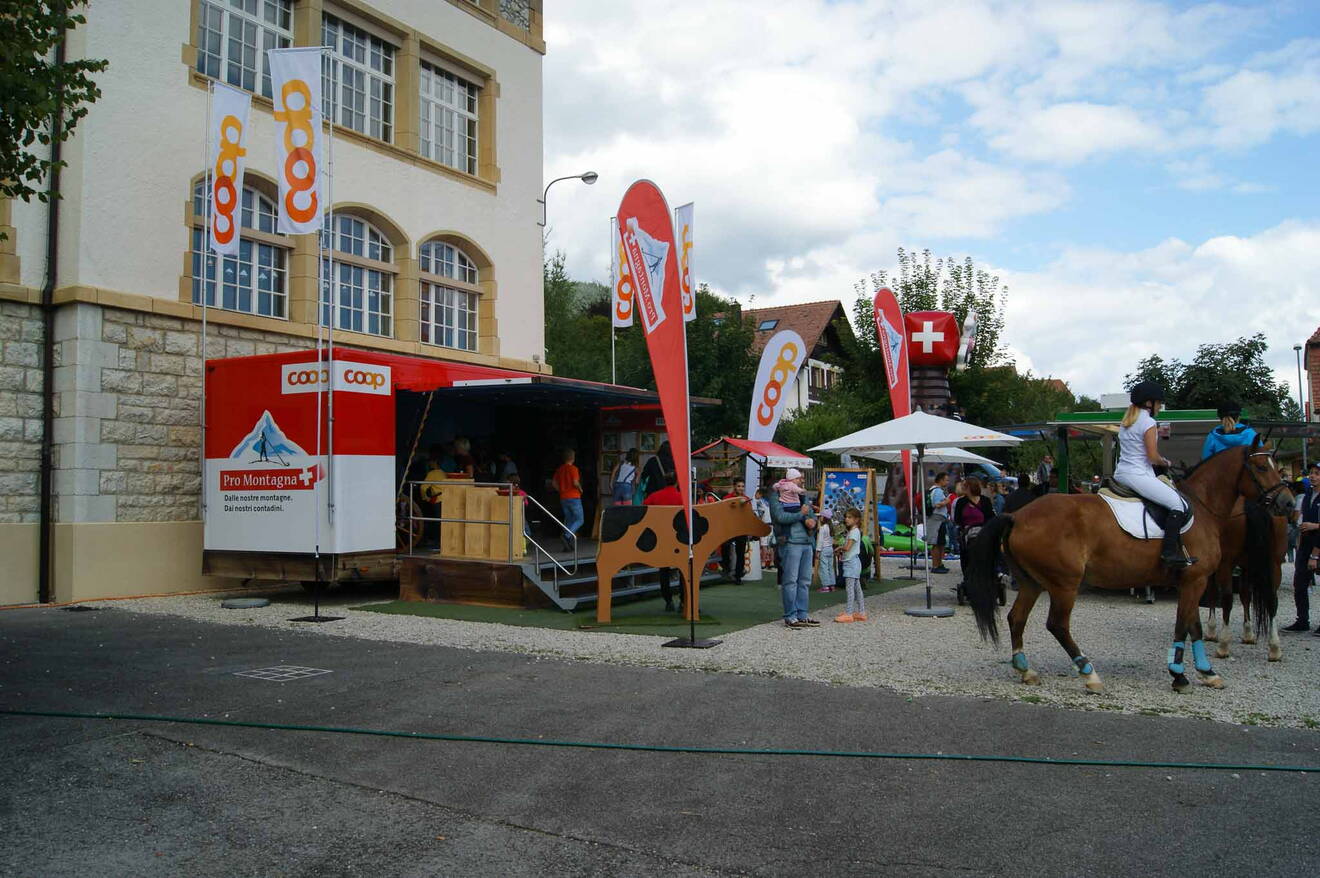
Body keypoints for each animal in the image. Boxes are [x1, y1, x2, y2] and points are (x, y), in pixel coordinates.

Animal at [1203, 499, 1283, 657]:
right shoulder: (1246, 567)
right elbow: (1245, 595)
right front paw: (1248, 633)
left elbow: (1213, 594)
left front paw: (1211, 630)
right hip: (1274, 563)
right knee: (1272, 600)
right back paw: (1274, 648)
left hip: (1226, 564)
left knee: (1226, 599)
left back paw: (1223, 645)